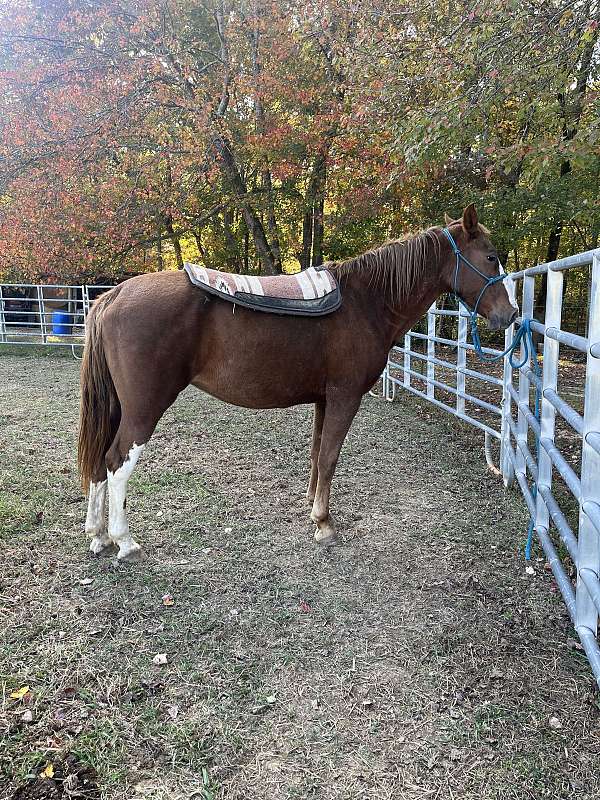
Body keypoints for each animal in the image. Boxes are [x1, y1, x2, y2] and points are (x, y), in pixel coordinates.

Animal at [78, 204, 518, 561]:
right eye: (491, 256)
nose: (510, 315)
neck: (366, 302)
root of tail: (114, 294)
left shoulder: (324, 399)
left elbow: (317, 453)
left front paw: (311, 506)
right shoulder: (345, 397)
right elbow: (330, 457)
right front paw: (324, 523)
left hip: (119, 406)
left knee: (99, 460)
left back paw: (98, 536)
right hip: (144, 408)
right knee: (117, 461)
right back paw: (124, 541)